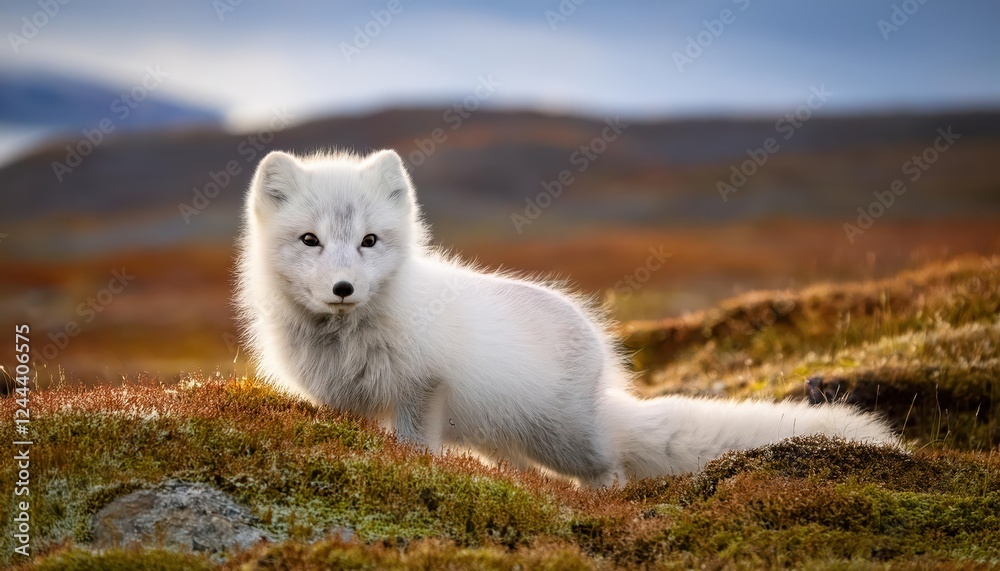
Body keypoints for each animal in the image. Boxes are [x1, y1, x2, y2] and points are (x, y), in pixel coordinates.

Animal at [235, 149, 897, 486]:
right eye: (311, 240)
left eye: (370, 240)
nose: (344, 288)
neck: (344, 337)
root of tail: (597, 346)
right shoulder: (343, 402)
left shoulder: (422, 389)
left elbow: (415, 446)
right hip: (501, 439)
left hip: (565, 439)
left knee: (612, 465)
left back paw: (606, 502)